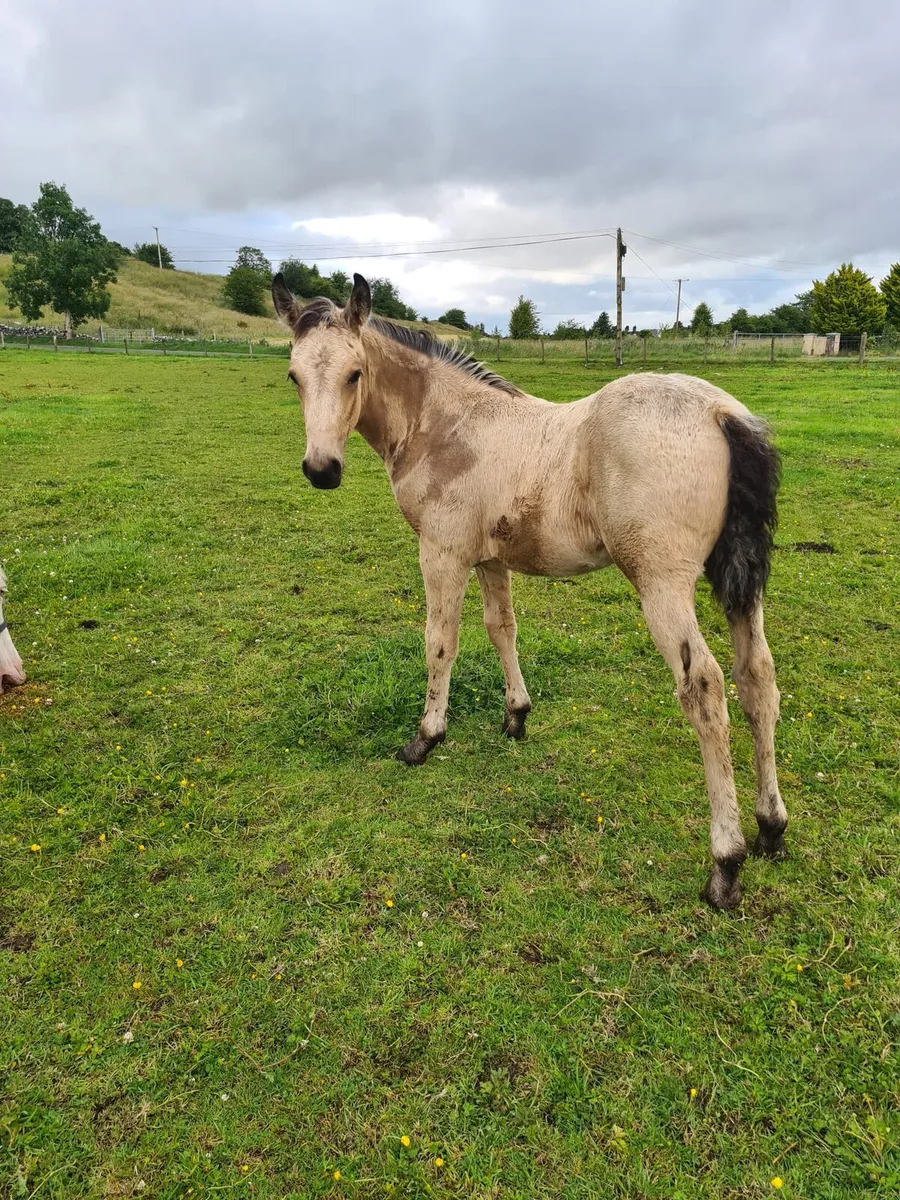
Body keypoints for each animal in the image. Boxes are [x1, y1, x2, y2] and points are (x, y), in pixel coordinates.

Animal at [272, 272, 785, 909]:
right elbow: (501, 630)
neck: (444, 425)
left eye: (354, 373)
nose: (321, 470)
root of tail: (721, 412)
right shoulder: (491, 558)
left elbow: (439, 642)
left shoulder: (441, 553)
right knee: (757, 678)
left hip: (661, 584)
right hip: (741, 582)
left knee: (705, 689)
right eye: (293, 375)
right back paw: (770, 828)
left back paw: (725, 864)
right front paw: (516, 716)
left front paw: (425, 738)